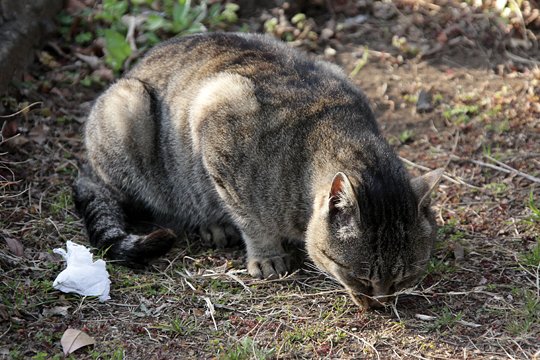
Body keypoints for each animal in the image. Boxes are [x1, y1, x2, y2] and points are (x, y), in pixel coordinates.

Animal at [73, 33, 442, 306]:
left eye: (404, 277)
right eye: (359, 276)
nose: (380, 303)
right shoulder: (217, 122)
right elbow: (251, 219)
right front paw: (266, 255)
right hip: (128, 107)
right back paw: (210, 223)